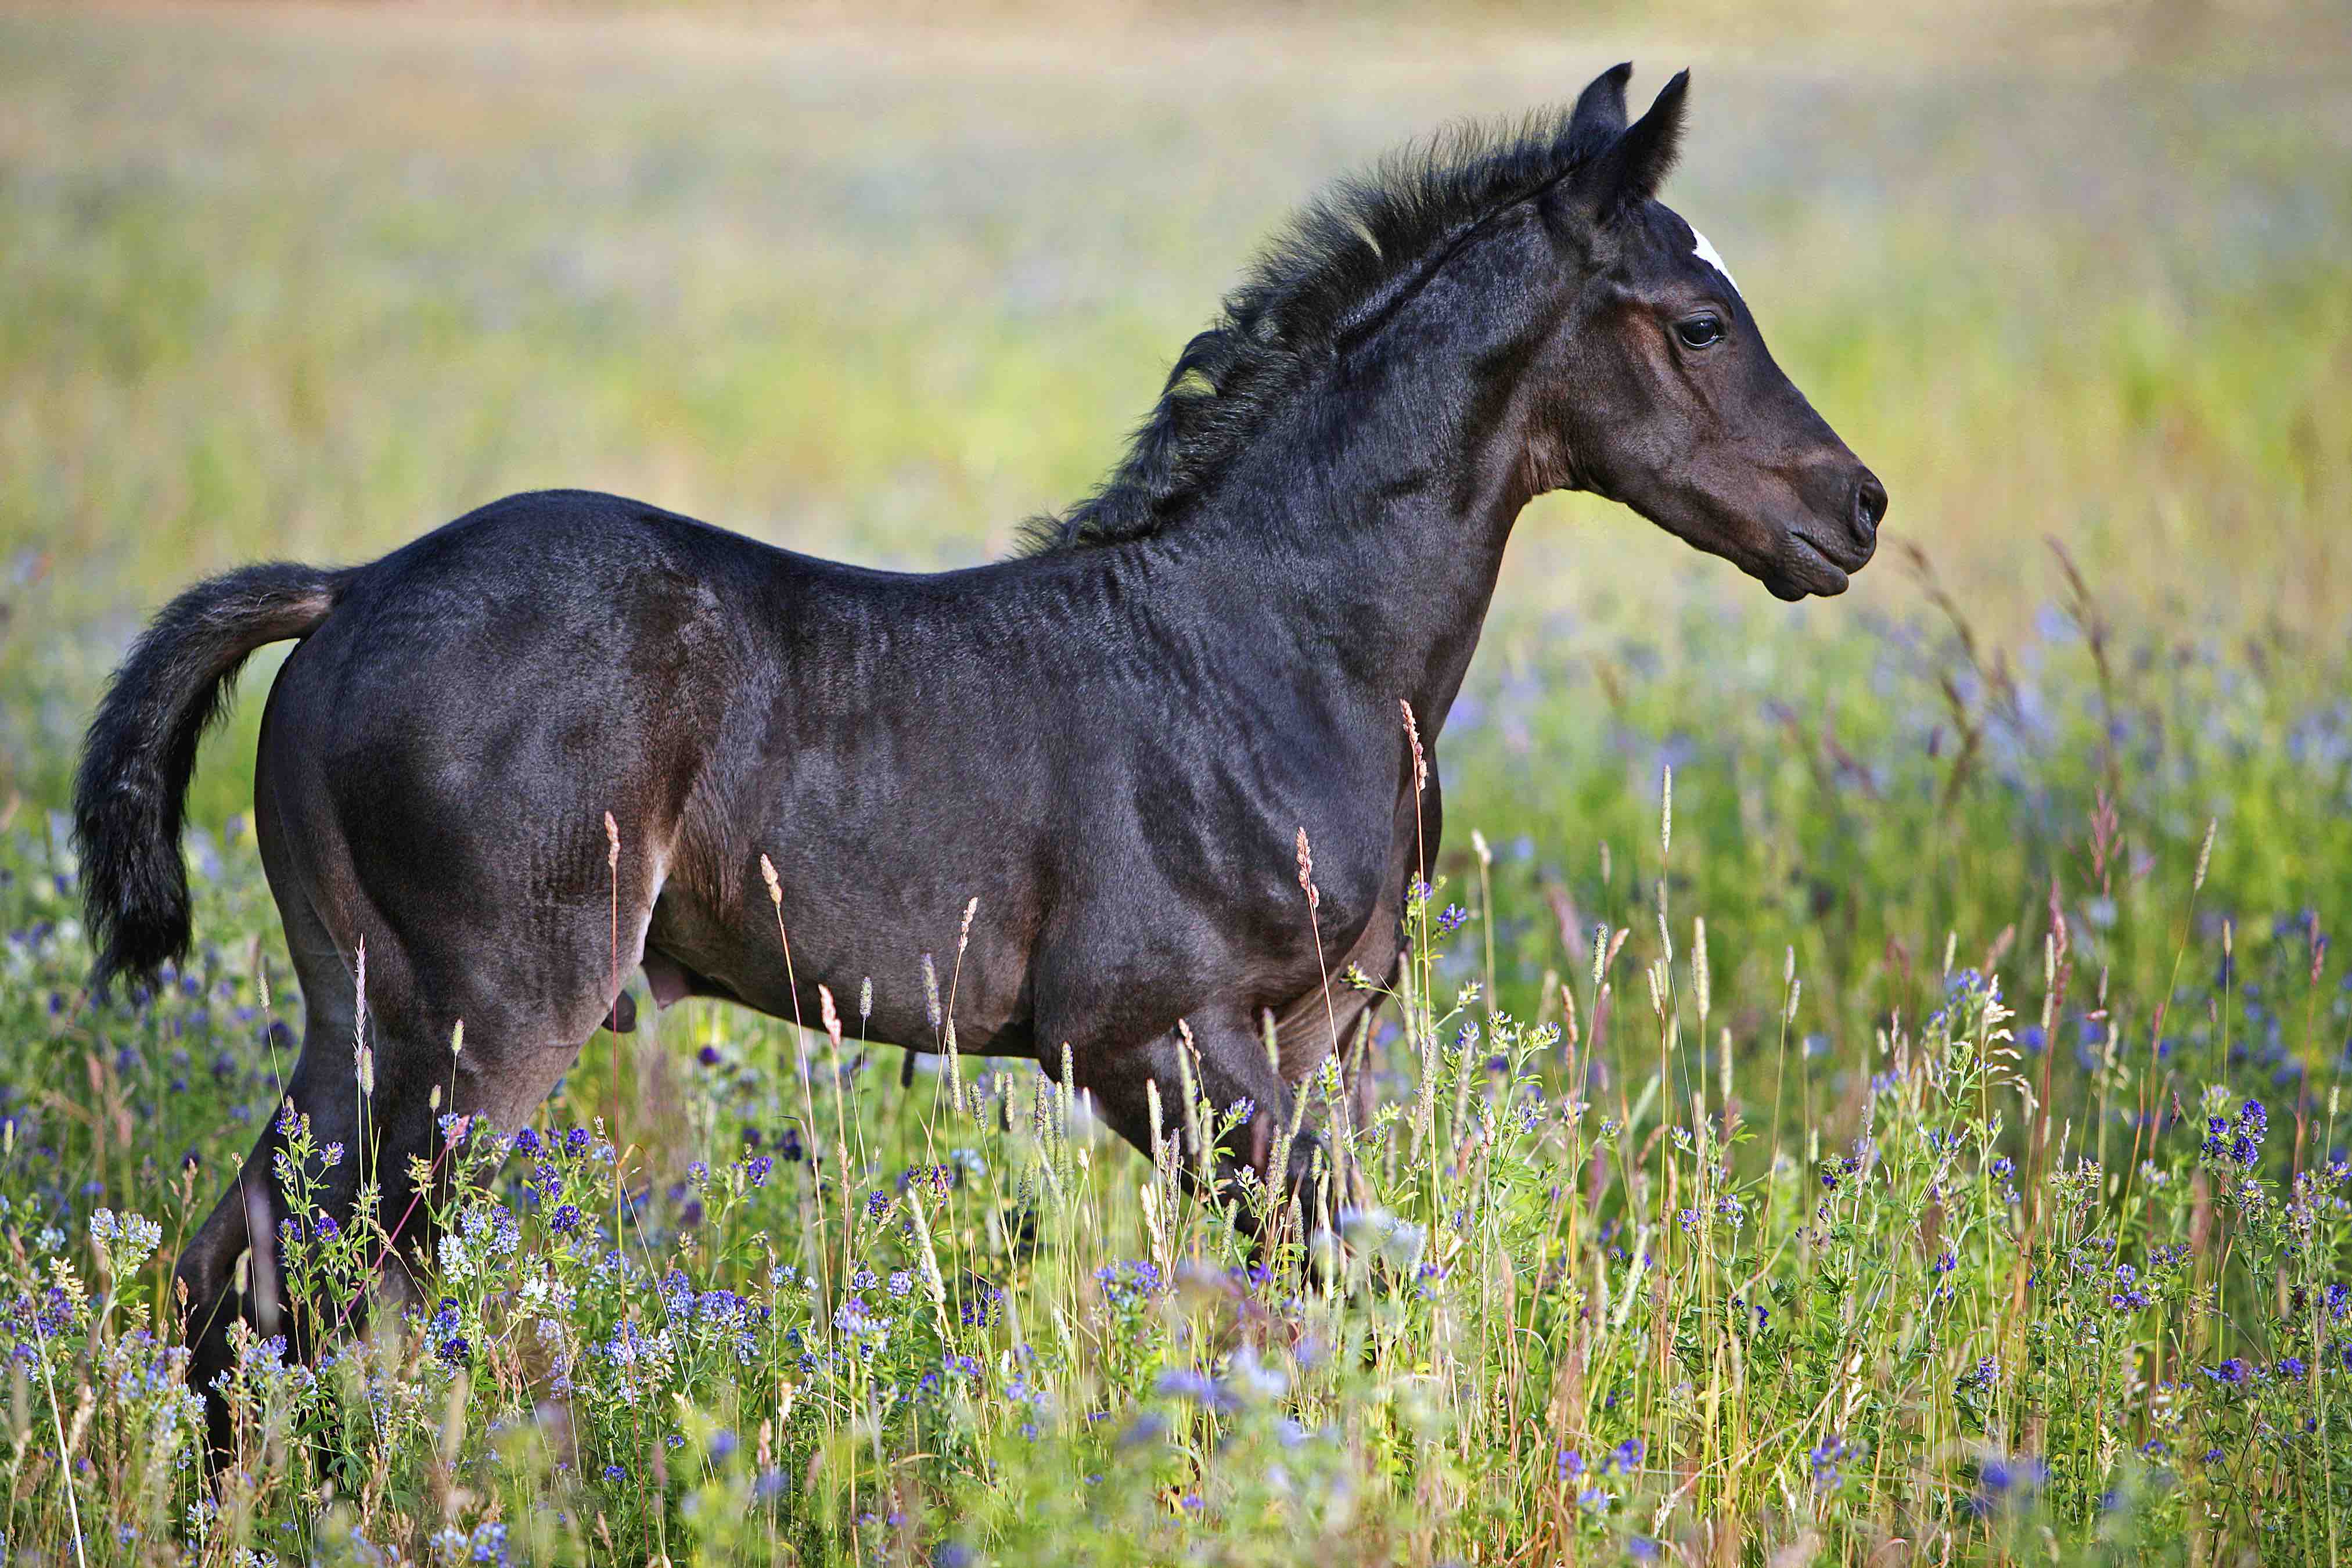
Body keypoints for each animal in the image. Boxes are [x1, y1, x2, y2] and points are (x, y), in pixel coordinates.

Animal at [73, 67, 1882, 1457]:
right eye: (1699, 321)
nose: (1853, 506)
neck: (1275, 640)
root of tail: (355, 583)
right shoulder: (1144, 1036)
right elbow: (1325, 1281)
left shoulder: (1316, 1043)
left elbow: (1318, 1299)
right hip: (479, 1022)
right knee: (326, 1286)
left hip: (359, 1009)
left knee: (236, 1273)